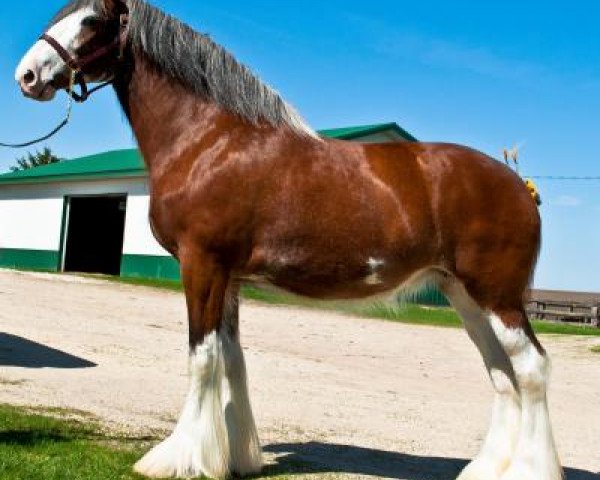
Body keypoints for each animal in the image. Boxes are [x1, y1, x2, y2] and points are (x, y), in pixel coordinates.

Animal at [14, 0, 564, 480]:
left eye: (90, 19)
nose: (27, 76)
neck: (208, 140)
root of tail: (519, 185)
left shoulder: (202, 264)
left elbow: (202, 357)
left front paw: (179, 458)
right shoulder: (229, 277)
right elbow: (232, 360)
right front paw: (236, 458)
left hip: (497, 296)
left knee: (531, 369)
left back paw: (531, 469)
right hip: (463, 295)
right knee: (501, 374)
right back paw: (487, 469)